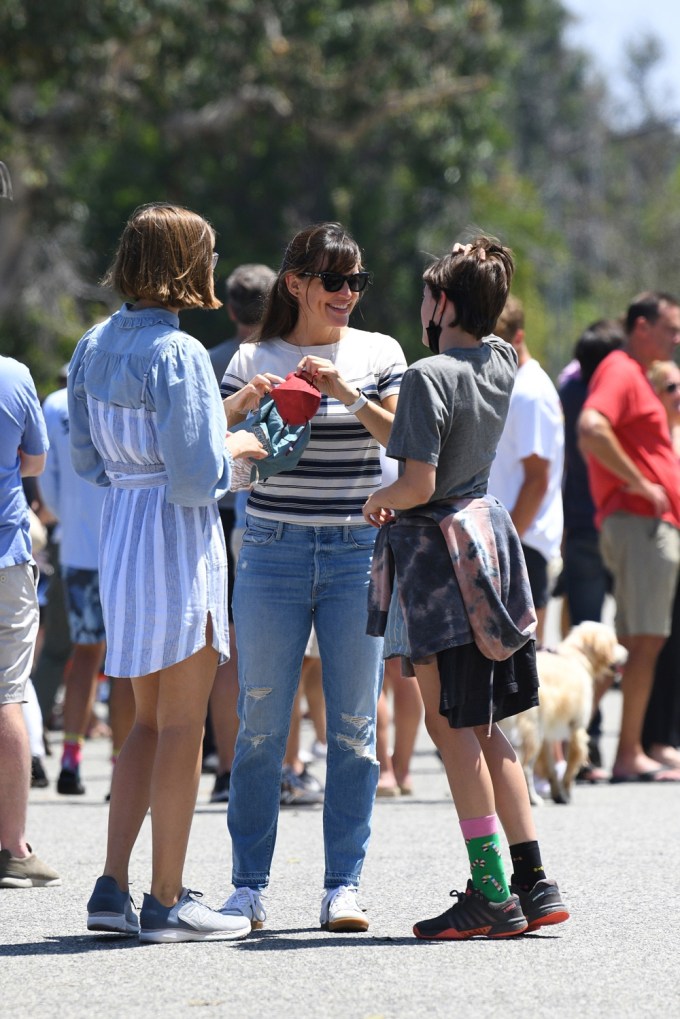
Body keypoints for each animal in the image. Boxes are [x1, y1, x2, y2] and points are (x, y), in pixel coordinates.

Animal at [499, 619, 628, 802]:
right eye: (615, 642)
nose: (627, 653)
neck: (576, 654)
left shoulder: (547, 737)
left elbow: (551, 769)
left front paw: (557, 793)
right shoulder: (577, 729)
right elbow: (570, 768)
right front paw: (566, 792)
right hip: (532, 734)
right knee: (524, 769)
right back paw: (534, 799)